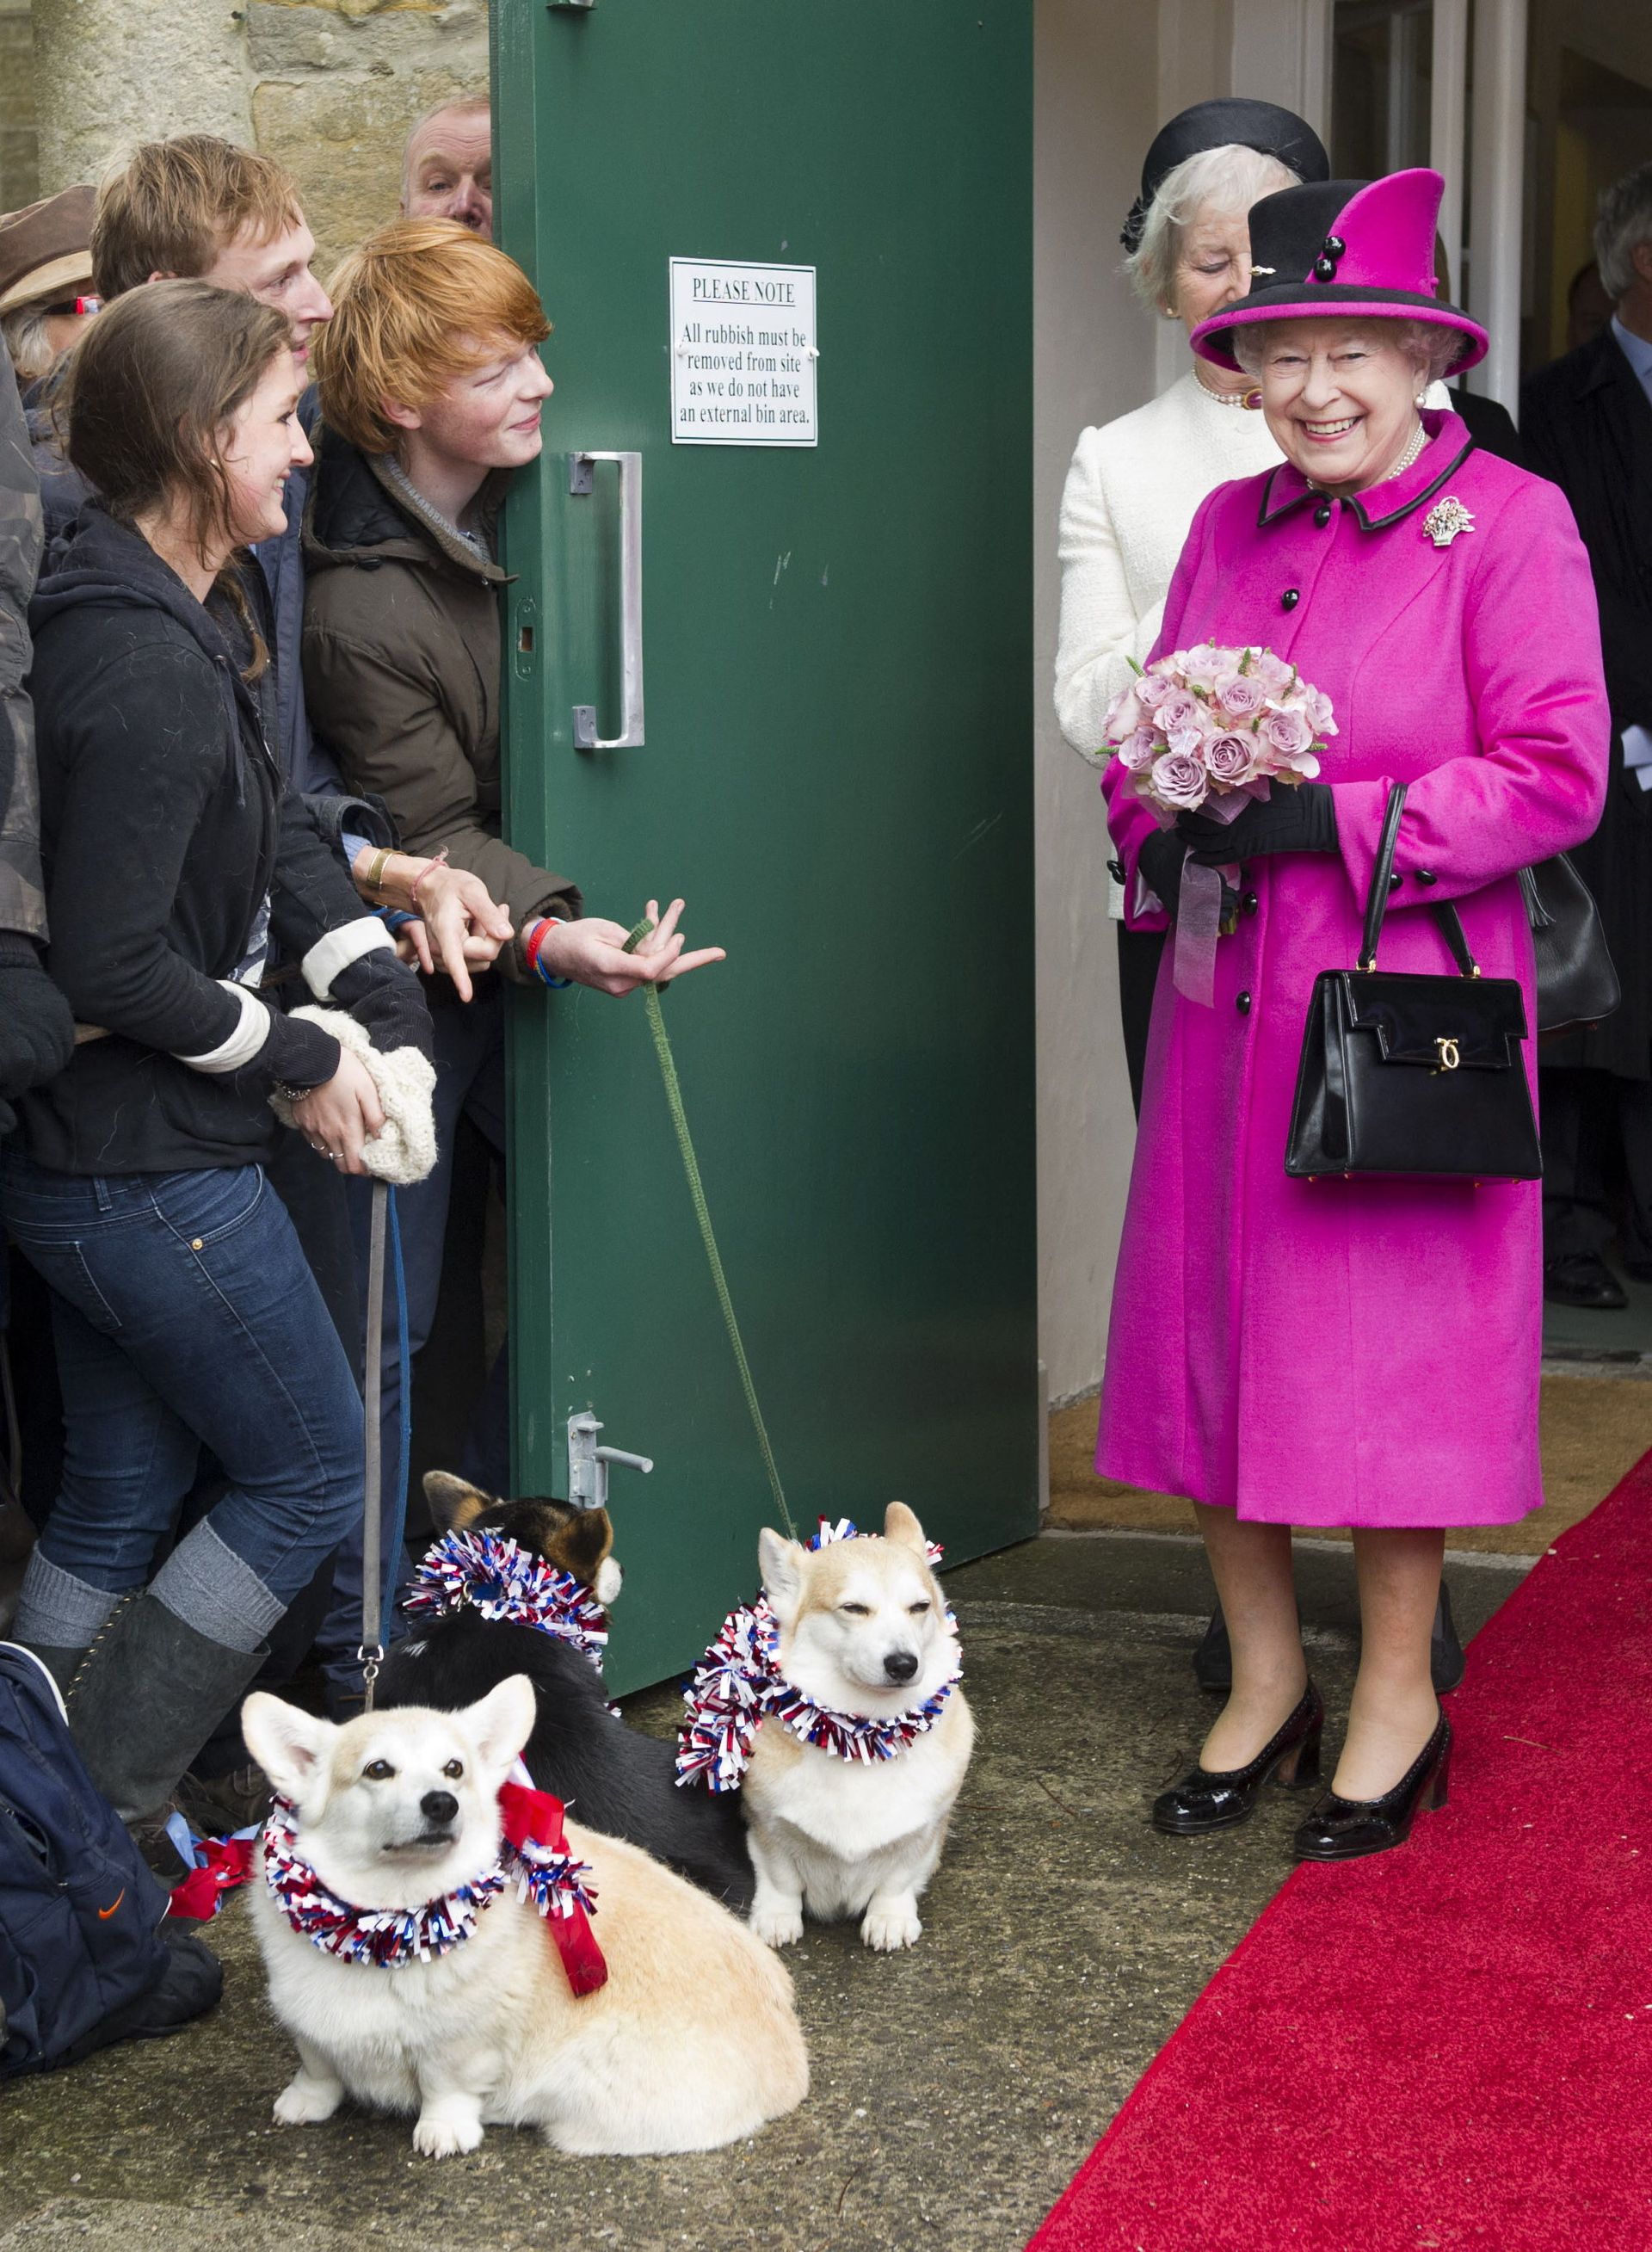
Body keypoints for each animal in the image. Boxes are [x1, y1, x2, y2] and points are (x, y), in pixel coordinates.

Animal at [243, 1684, 810, 2152]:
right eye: (377, 1769)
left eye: (455, 1769)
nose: (442, 1804)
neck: (382, 1924)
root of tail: (792, 2068)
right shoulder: (309, 2023)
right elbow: (318, 2067)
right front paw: (304, 2102)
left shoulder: (462, 2042)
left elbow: (444, 2084)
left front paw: (443, 2132)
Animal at [743, 1513, 977, 1954]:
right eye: (853, 1608)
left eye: (920, 1607)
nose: (903, 1664)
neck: (864, 1735)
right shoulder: (769, 1827)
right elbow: (781, 1879)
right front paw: (777, 1919)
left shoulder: (921, 1834)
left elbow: (897, 1879)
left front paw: (889, 1920)